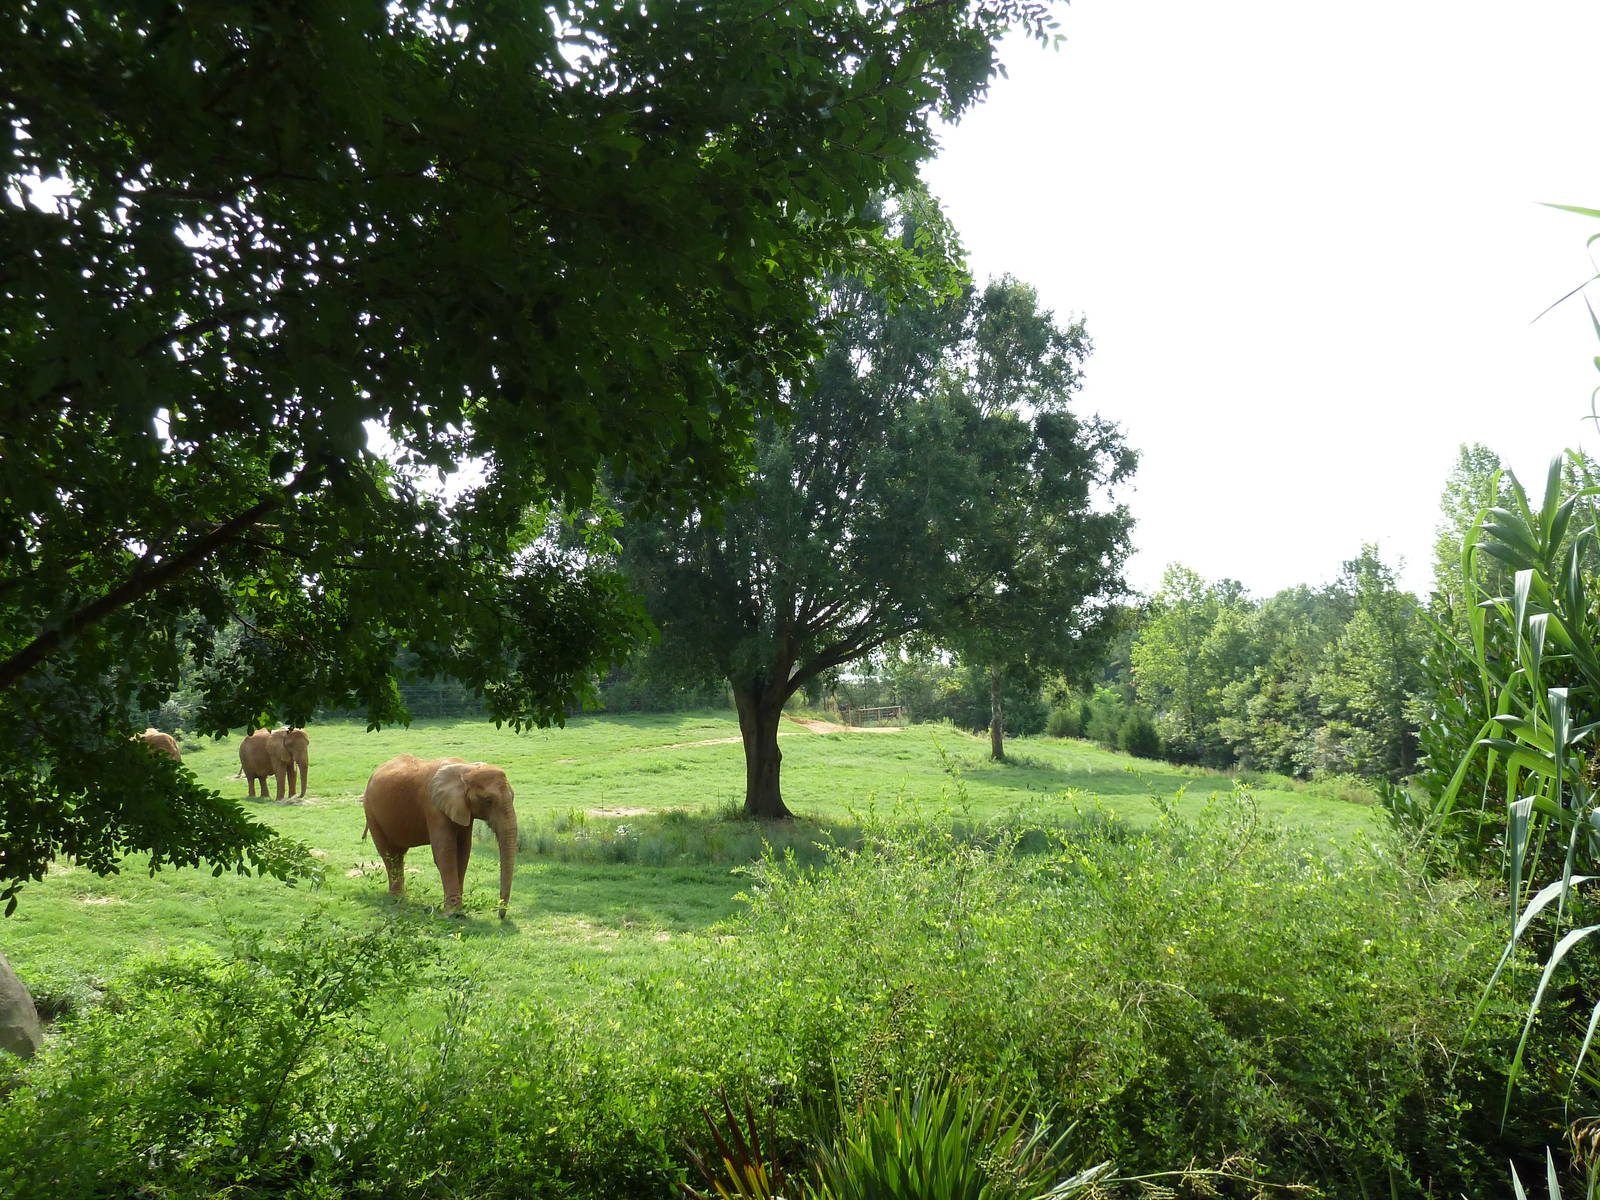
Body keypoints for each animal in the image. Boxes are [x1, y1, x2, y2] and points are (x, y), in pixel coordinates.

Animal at [361, 755, 518, 918]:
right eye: (488, 801)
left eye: (513, 797)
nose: (500, 916)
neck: (467, 769)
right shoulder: (433, 807)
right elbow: (445, 854)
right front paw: (452, 914)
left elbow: (463, 853)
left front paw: (459, 911)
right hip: (371, 812)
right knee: (389, 853)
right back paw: (397, 898)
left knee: (398, 854)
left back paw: (400, 897)